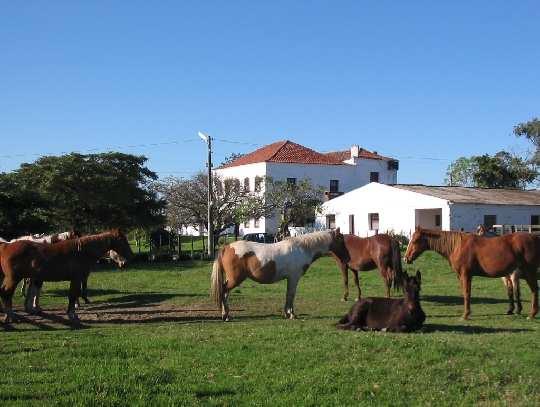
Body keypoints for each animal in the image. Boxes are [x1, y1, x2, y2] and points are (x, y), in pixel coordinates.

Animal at [0, 230, 133, 326]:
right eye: (123, 241)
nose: (127, 261)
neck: (81, 251)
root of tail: (6, 246)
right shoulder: (76, 279)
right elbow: (73, 296)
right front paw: (73, 316)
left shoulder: (76, 279)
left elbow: (72, 296)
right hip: (14, 278)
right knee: (7, 293)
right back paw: (10, 316)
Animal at [211, 230, 350, 322]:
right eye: (341, 240)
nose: (348, 258)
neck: (302, 248)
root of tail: (226, 247)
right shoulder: (294, 278)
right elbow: (291, 295)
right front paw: (291, 314)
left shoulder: (290, 278)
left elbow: (288, 295)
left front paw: (286, 313)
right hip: (235, 279)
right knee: (224, 291)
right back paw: (226, 316)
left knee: (225, 293)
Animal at [402, 228, 536, 320]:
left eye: (415, 240)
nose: (406, 258)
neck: (457, 246)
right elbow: (465, 293)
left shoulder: (465, 275)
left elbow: (467, 293)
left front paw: (465, 315)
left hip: (529, 272)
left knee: (534, 290)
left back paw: (532, 314)